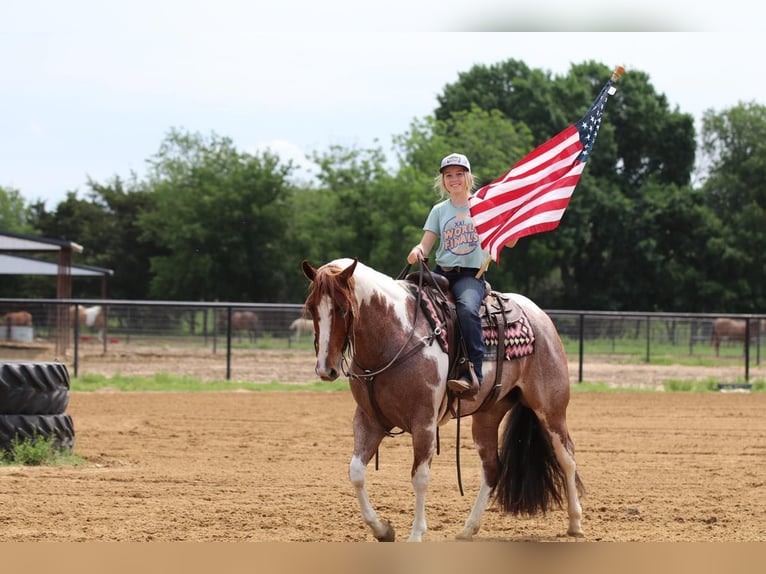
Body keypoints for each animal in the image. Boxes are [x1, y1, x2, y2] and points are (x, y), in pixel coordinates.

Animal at [304, 258, 584, 544]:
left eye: (342, 309)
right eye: (312, 308)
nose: (326, 369)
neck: (396, 336)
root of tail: (540, 317)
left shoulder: (424, 423)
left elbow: (420, 477)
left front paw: (416, 534)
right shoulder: (368, 419)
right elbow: (356, 472)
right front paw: (383, 530)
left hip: (551, 409)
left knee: (567, 457)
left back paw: (575, 523)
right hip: (487, 416)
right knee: (492, 468)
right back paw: (468, 529)